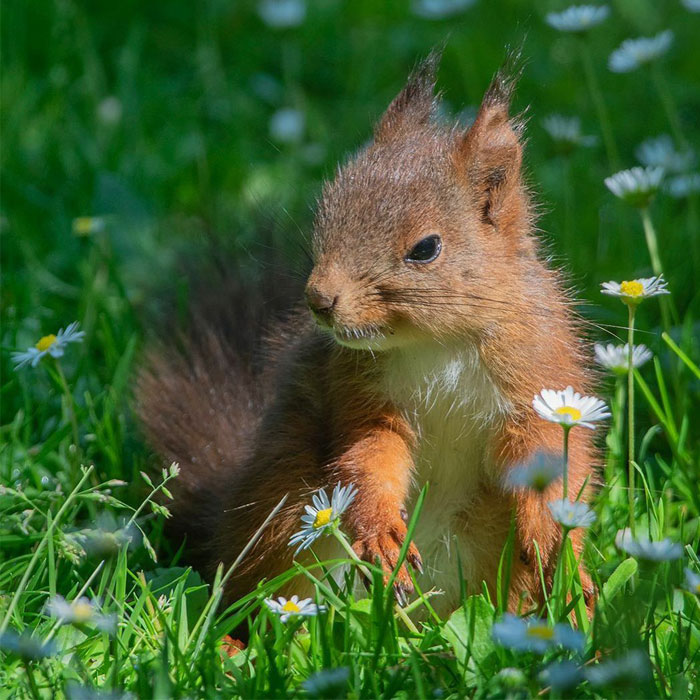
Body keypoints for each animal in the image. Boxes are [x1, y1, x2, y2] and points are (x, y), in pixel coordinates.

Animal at [137, 51, 596, 618]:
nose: (319, 300)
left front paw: (558, 542)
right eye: (326, 212)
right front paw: (381, 533)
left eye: (426, 248)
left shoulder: (537, 376)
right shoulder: (358, 391)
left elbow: (551, 462)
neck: (437, 344)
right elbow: (369, 456)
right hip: (286, 515)